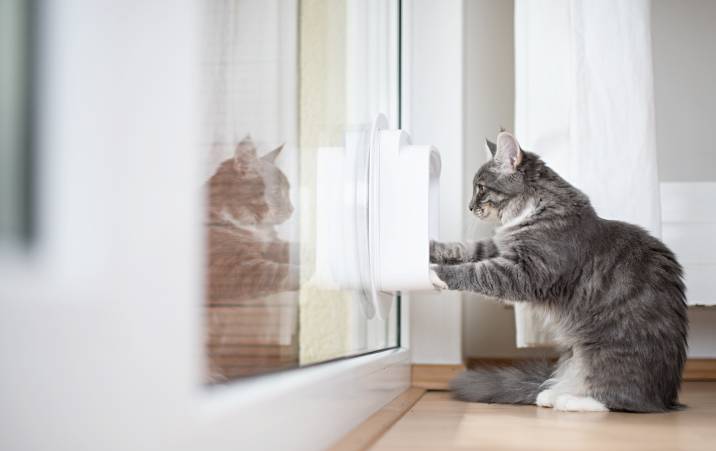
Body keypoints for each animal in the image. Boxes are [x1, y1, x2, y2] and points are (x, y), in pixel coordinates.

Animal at [430, 131, 688, 414]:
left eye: (481, 188)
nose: (469, 206)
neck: (533, 209)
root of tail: (667, 398)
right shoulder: (499, 249)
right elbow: (463, 248)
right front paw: (427, 249)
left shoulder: (526, 272)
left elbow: (474, 273)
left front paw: (436, 273)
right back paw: (551, 394)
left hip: (604, 353)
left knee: (619, 400)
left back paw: (569, 400)